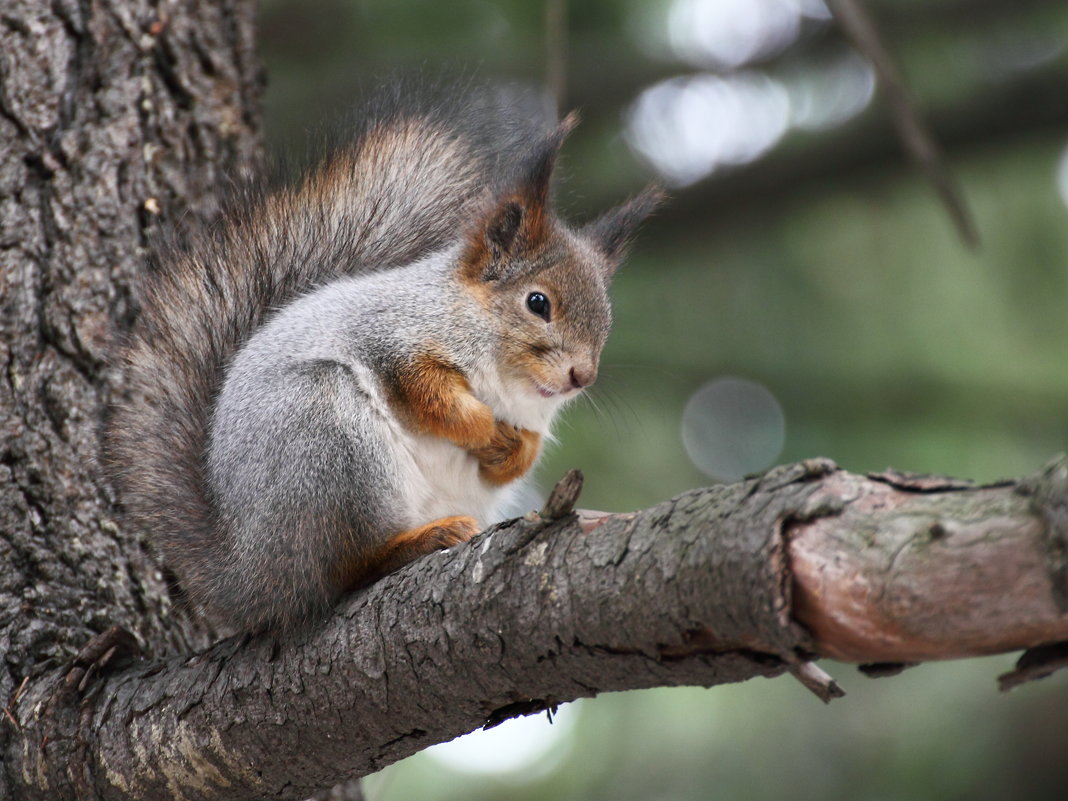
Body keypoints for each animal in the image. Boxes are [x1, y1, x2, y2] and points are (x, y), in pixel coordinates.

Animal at [108, 86, 657, 632]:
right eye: (537, 302)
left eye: (607, 321)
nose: (580, 376)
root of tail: (251, 574)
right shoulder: (393, 338)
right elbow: (429, 395)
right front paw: (483, 428)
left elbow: (521, 454)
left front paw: (509, 449)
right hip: (328, 441)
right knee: (344, 568)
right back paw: (419, 541)